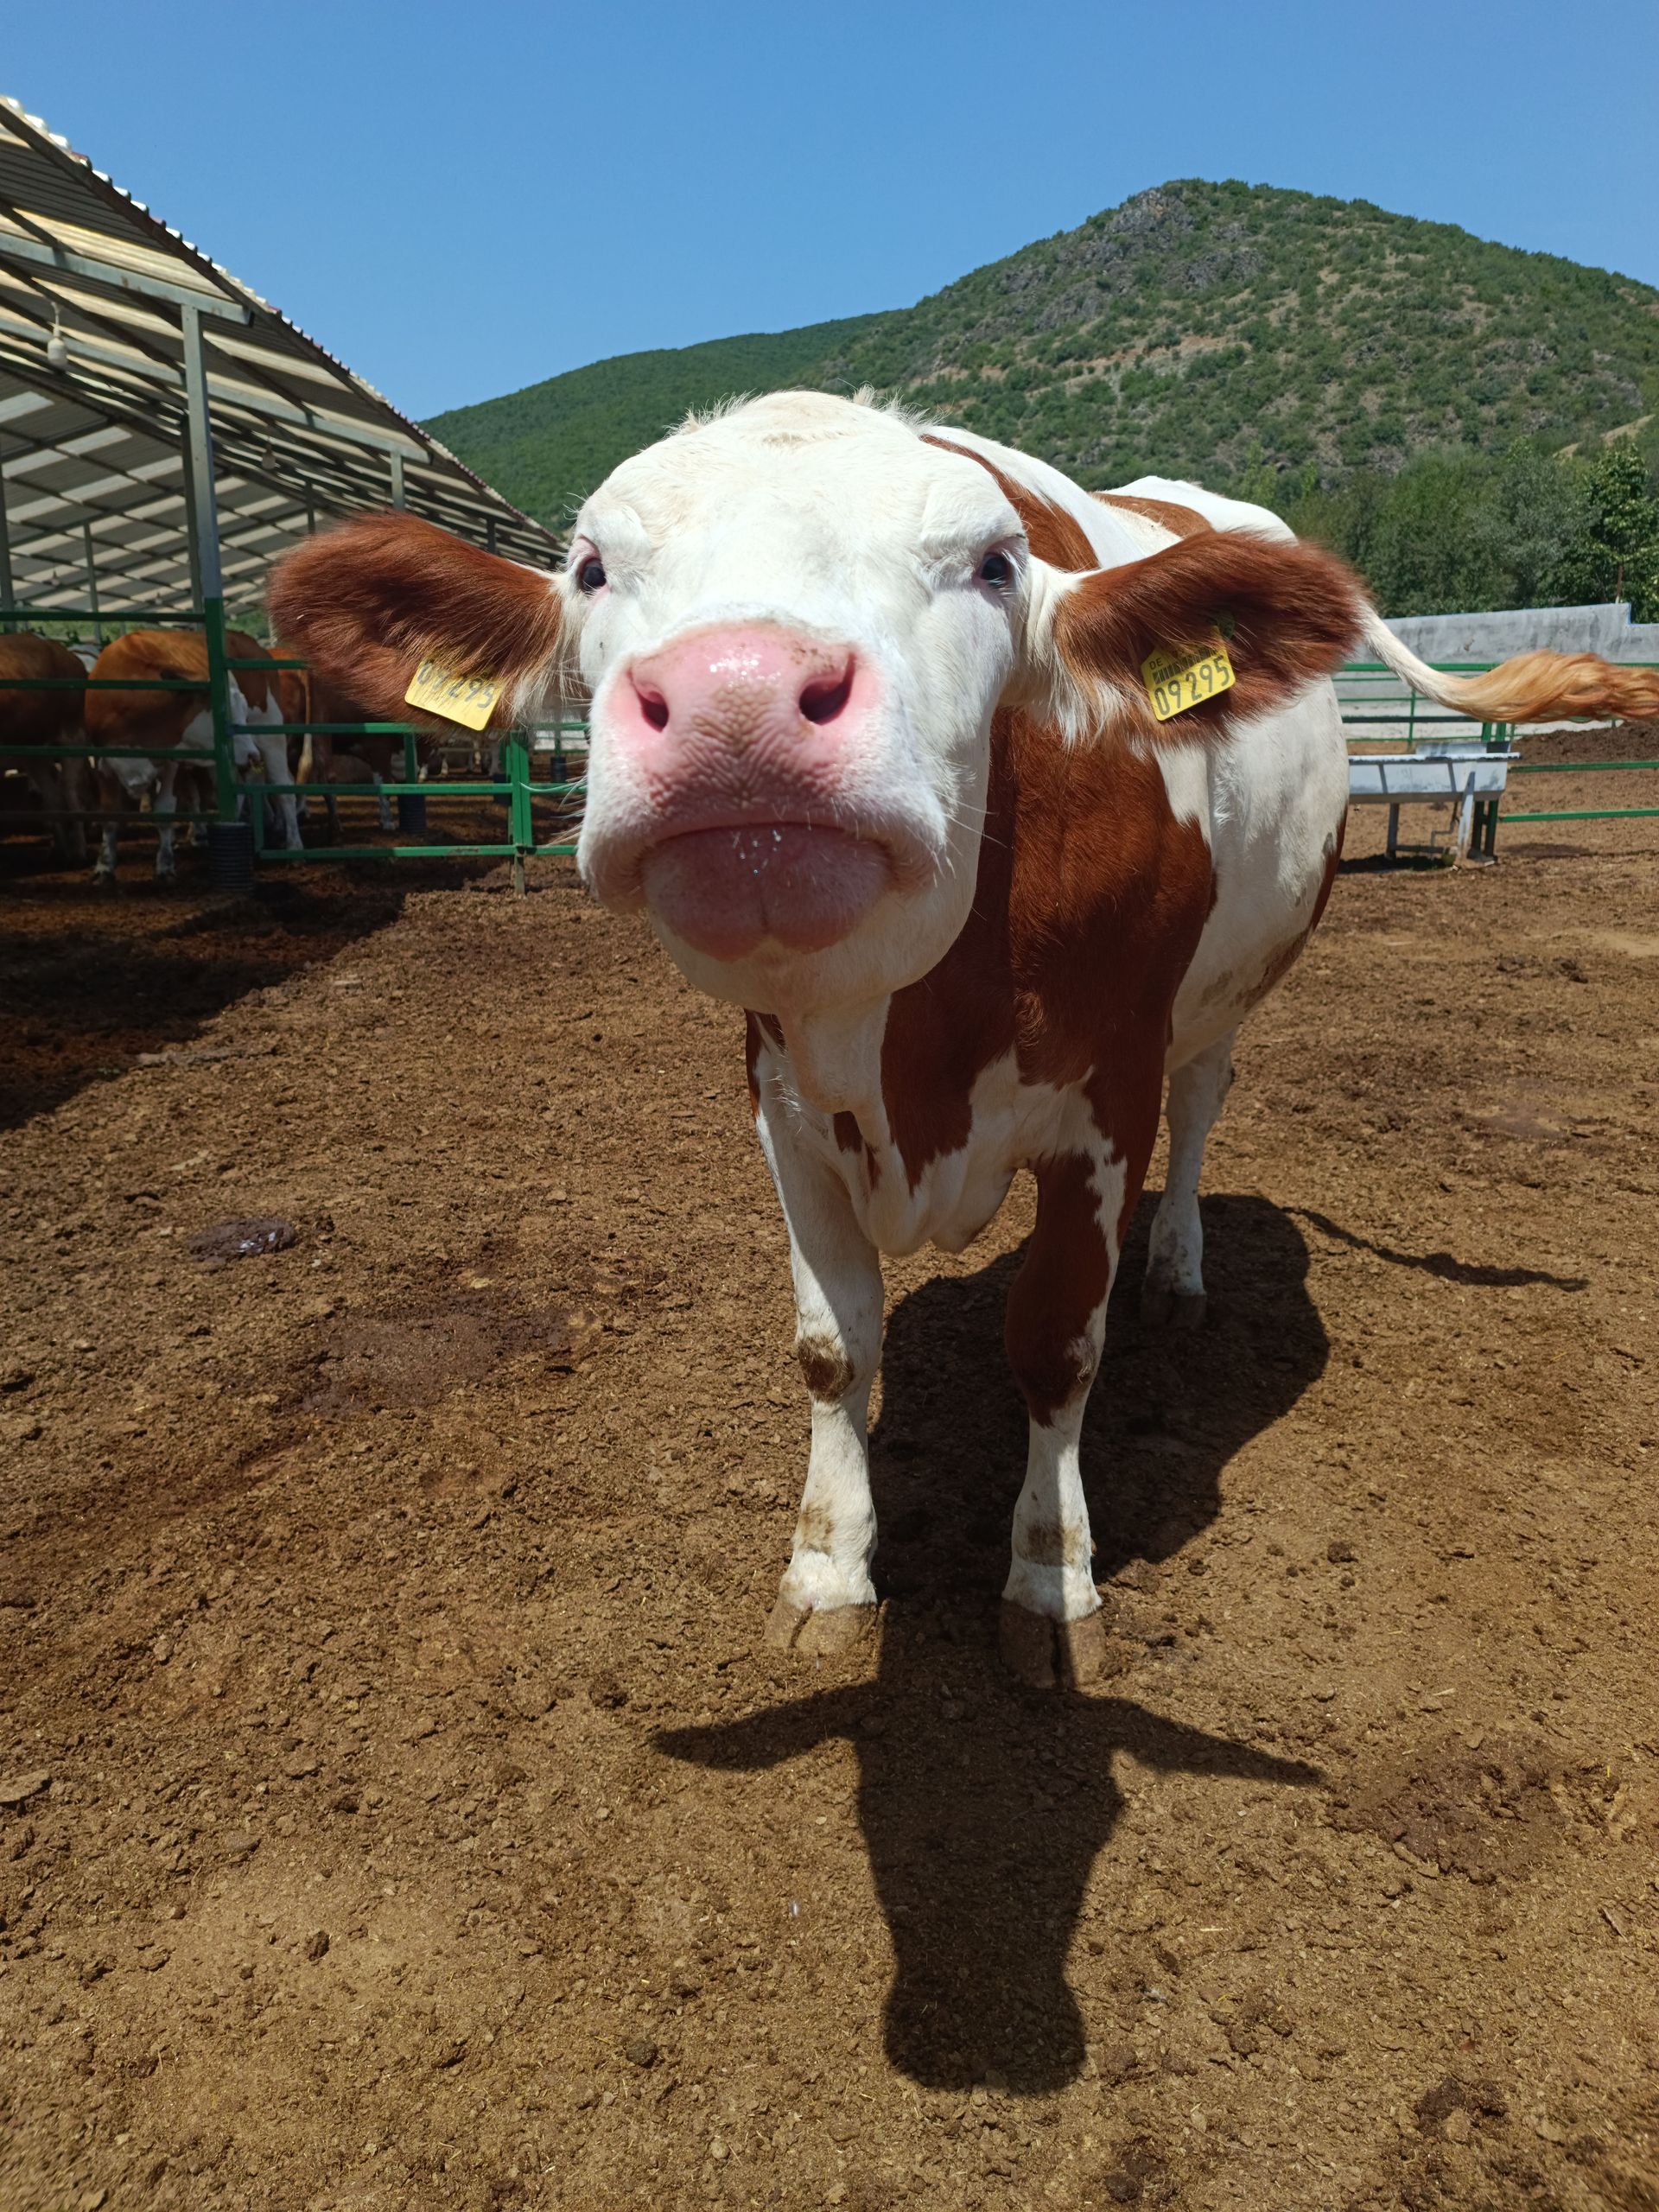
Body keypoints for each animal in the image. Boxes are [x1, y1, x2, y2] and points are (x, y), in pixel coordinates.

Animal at [0, 631, 93, 864]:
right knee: (53, 796)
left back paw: (79, 850)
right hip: (36, 752)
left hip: (73, 736)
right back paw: (60, 849)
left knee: (68, 790)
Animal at [86, 628, 301, 882]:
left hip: (270, 734)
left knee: (284, 789)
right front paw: (104, 865)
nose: (252, 755)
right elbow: (109, 816)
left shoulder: (172, 761)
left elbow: (165, 809)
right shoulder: (102, 761)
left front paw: (165, 863)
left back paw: (294, 847)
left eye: (242, 711)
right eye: (224, 715)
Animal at [269, 391, 1659, 1686]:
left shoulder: (1108, 1092)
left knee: (1205, 1107)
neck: (908, 1050)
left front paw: (1050, 1580)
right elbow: (832, 1347)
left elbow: (1056, 1342)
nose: (736, 699)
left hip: (1230, 991)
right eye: (593, 569)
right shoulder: (781, 1096)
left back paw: (1179, 1268)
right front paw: (827, 1570)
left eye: (993, 565)